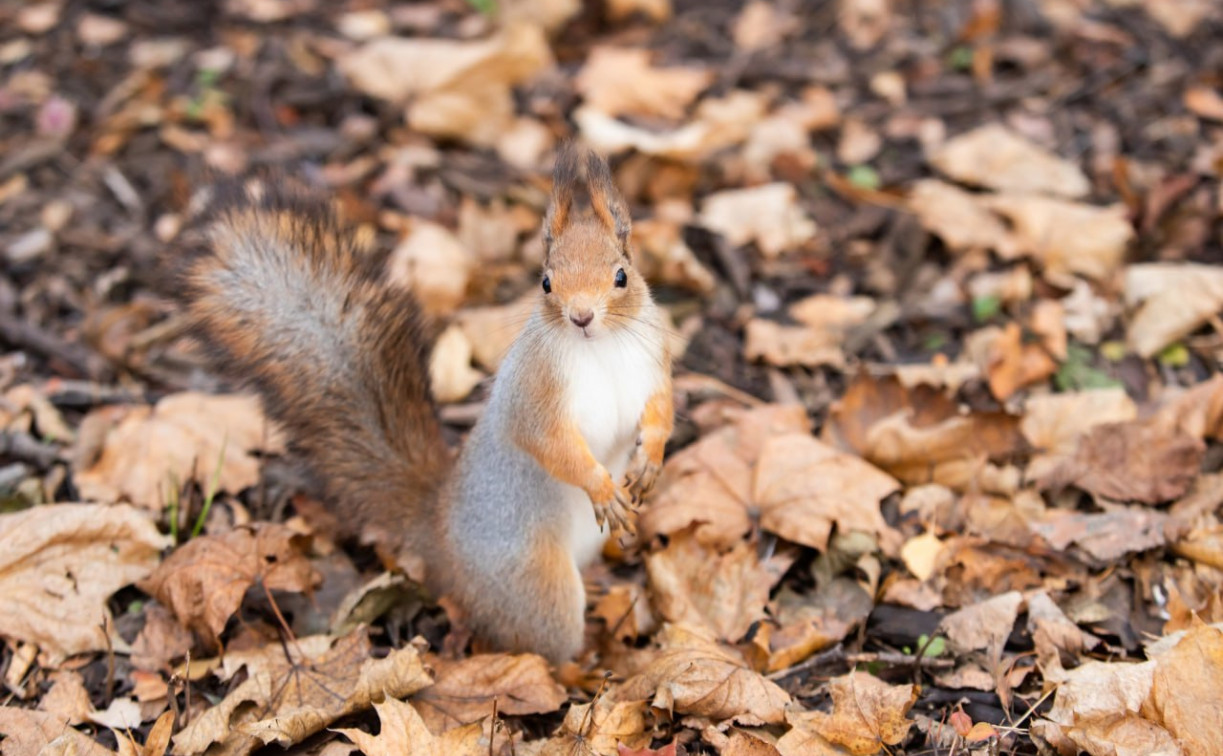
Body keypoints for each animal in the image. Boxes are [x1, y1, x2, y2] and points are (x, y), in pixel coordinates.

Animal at [177, 145, 675, 660]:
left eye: (622, 275)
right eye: (545, 283)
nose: (581, 317)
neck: (600, 348)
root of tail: (441, 536)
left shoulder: (652, 364)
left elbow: (660, 410)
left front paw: (651, 460)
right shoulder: (534, 392)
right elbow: (549, 443)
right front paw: (601, 487)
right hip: (537, 584)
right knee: (542, 646)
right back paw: (586, 661)